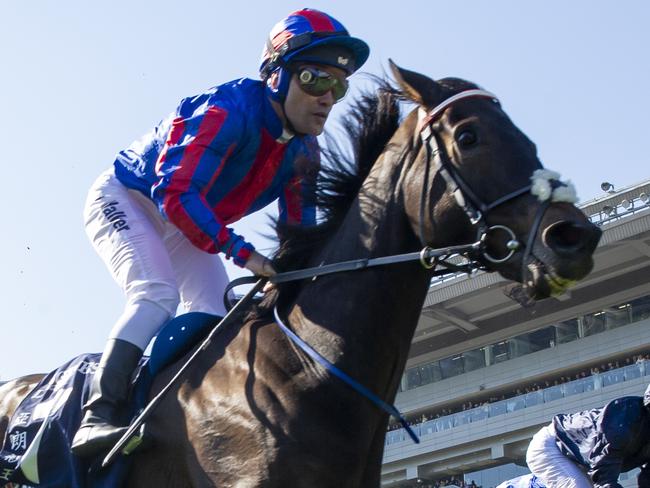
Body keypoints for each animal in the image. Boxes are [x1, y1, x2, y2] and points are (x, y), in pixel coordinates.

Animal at [0, 62, 600, 488]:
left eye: (525, 137)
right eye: (470, 137)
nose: (575, 238)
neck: (305, 365)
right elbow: (178, 187)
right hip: (119, 206)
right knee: (153, 293)